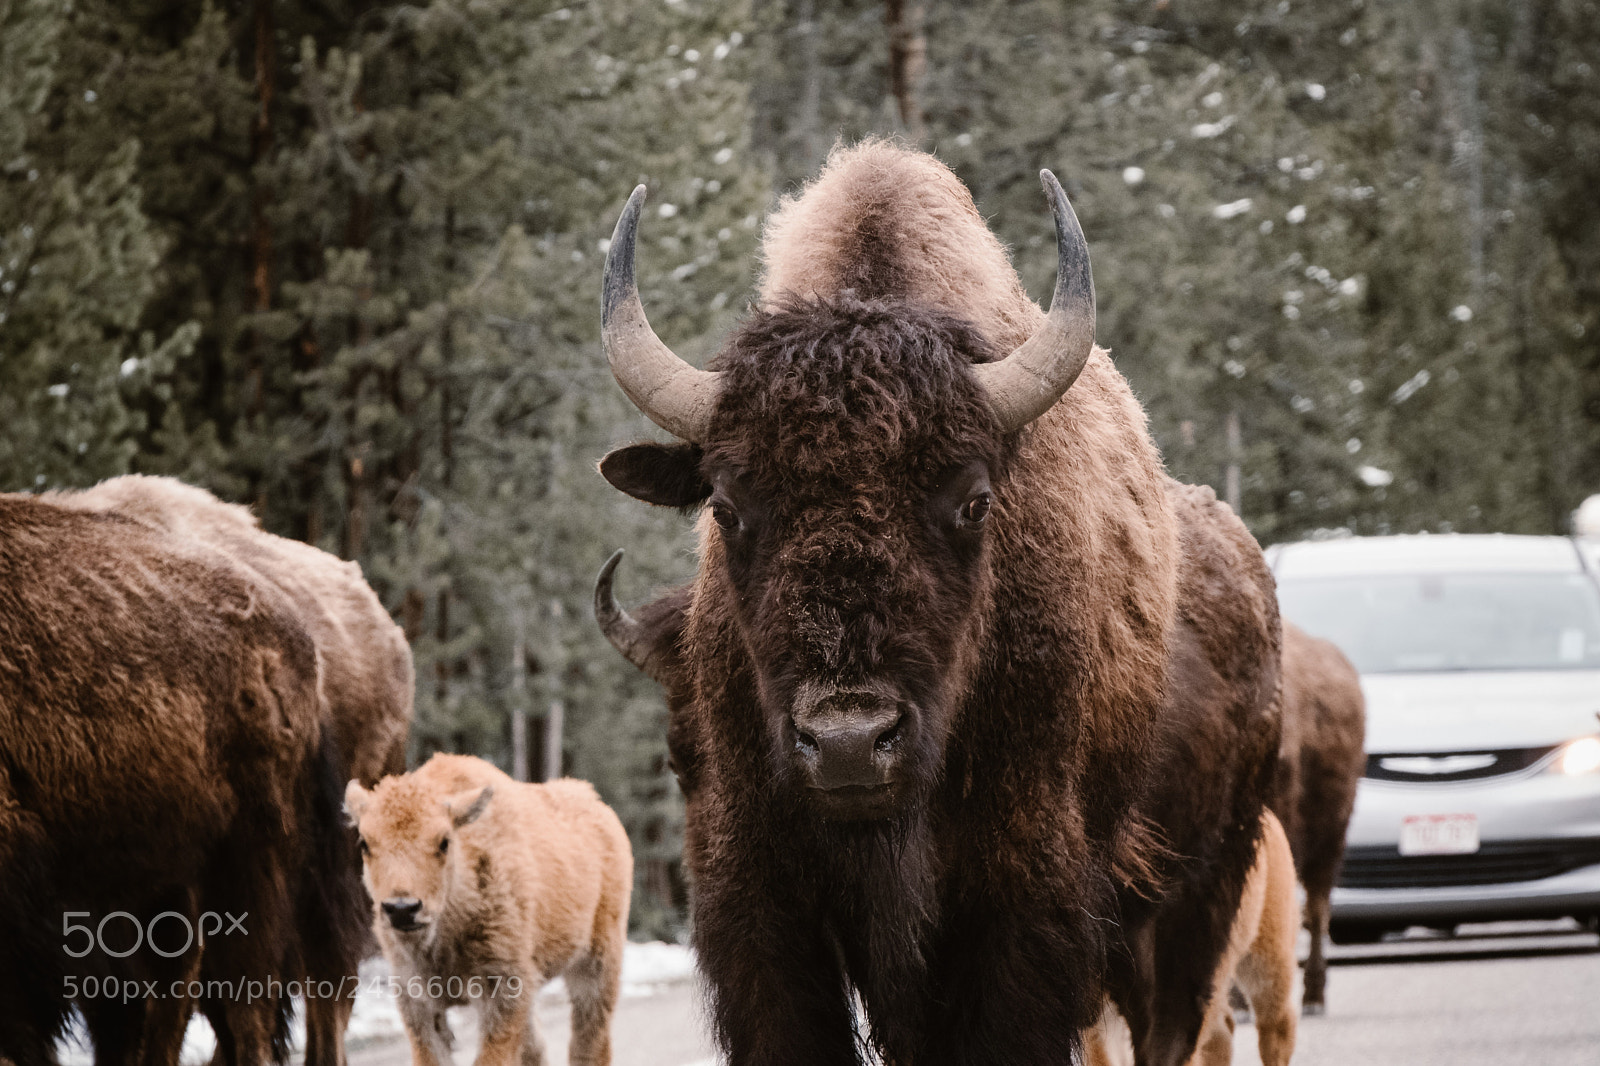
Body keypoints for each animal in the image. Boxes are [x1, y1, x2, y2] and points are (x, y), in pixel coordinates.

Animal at [595, 142, 1281, 1064]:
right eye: (727, 506)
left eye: (974, 501)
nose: (850, 742)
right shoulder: (765, 906)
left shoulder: (1018, 903)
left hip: (1196, 894)